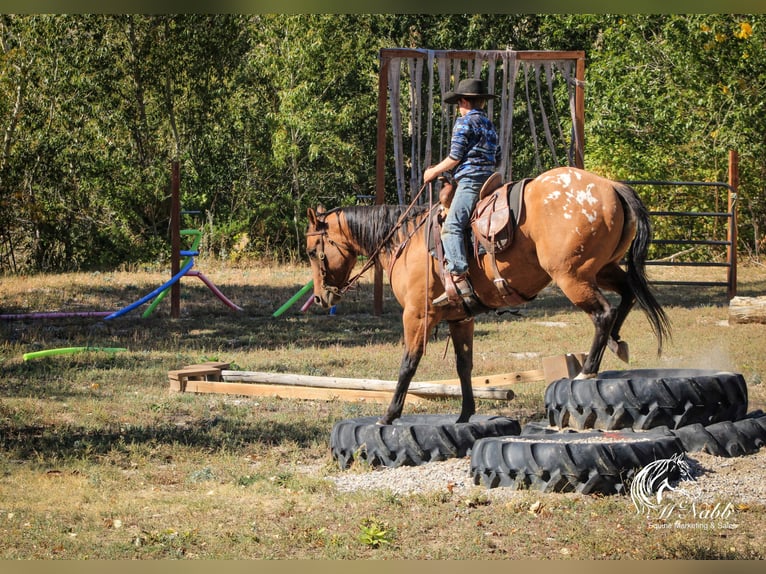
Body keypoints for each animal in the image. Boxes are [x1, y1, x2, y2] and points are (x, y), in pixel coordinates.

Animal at [306, 166, 672, 428]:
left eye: (312, 251)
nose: (321, 299)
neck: (405, 240)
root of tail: (611, 186)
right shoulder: (460, 317)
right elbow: (464, 366)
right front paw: (465, 415)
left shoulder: (417, 315)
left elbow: (409, 363)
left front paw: (389, 415)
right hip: (603, 268)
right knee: (627, 295)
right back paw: (616, 343)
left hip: (573, 276)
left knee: (603, 313)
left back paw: (588, 370)